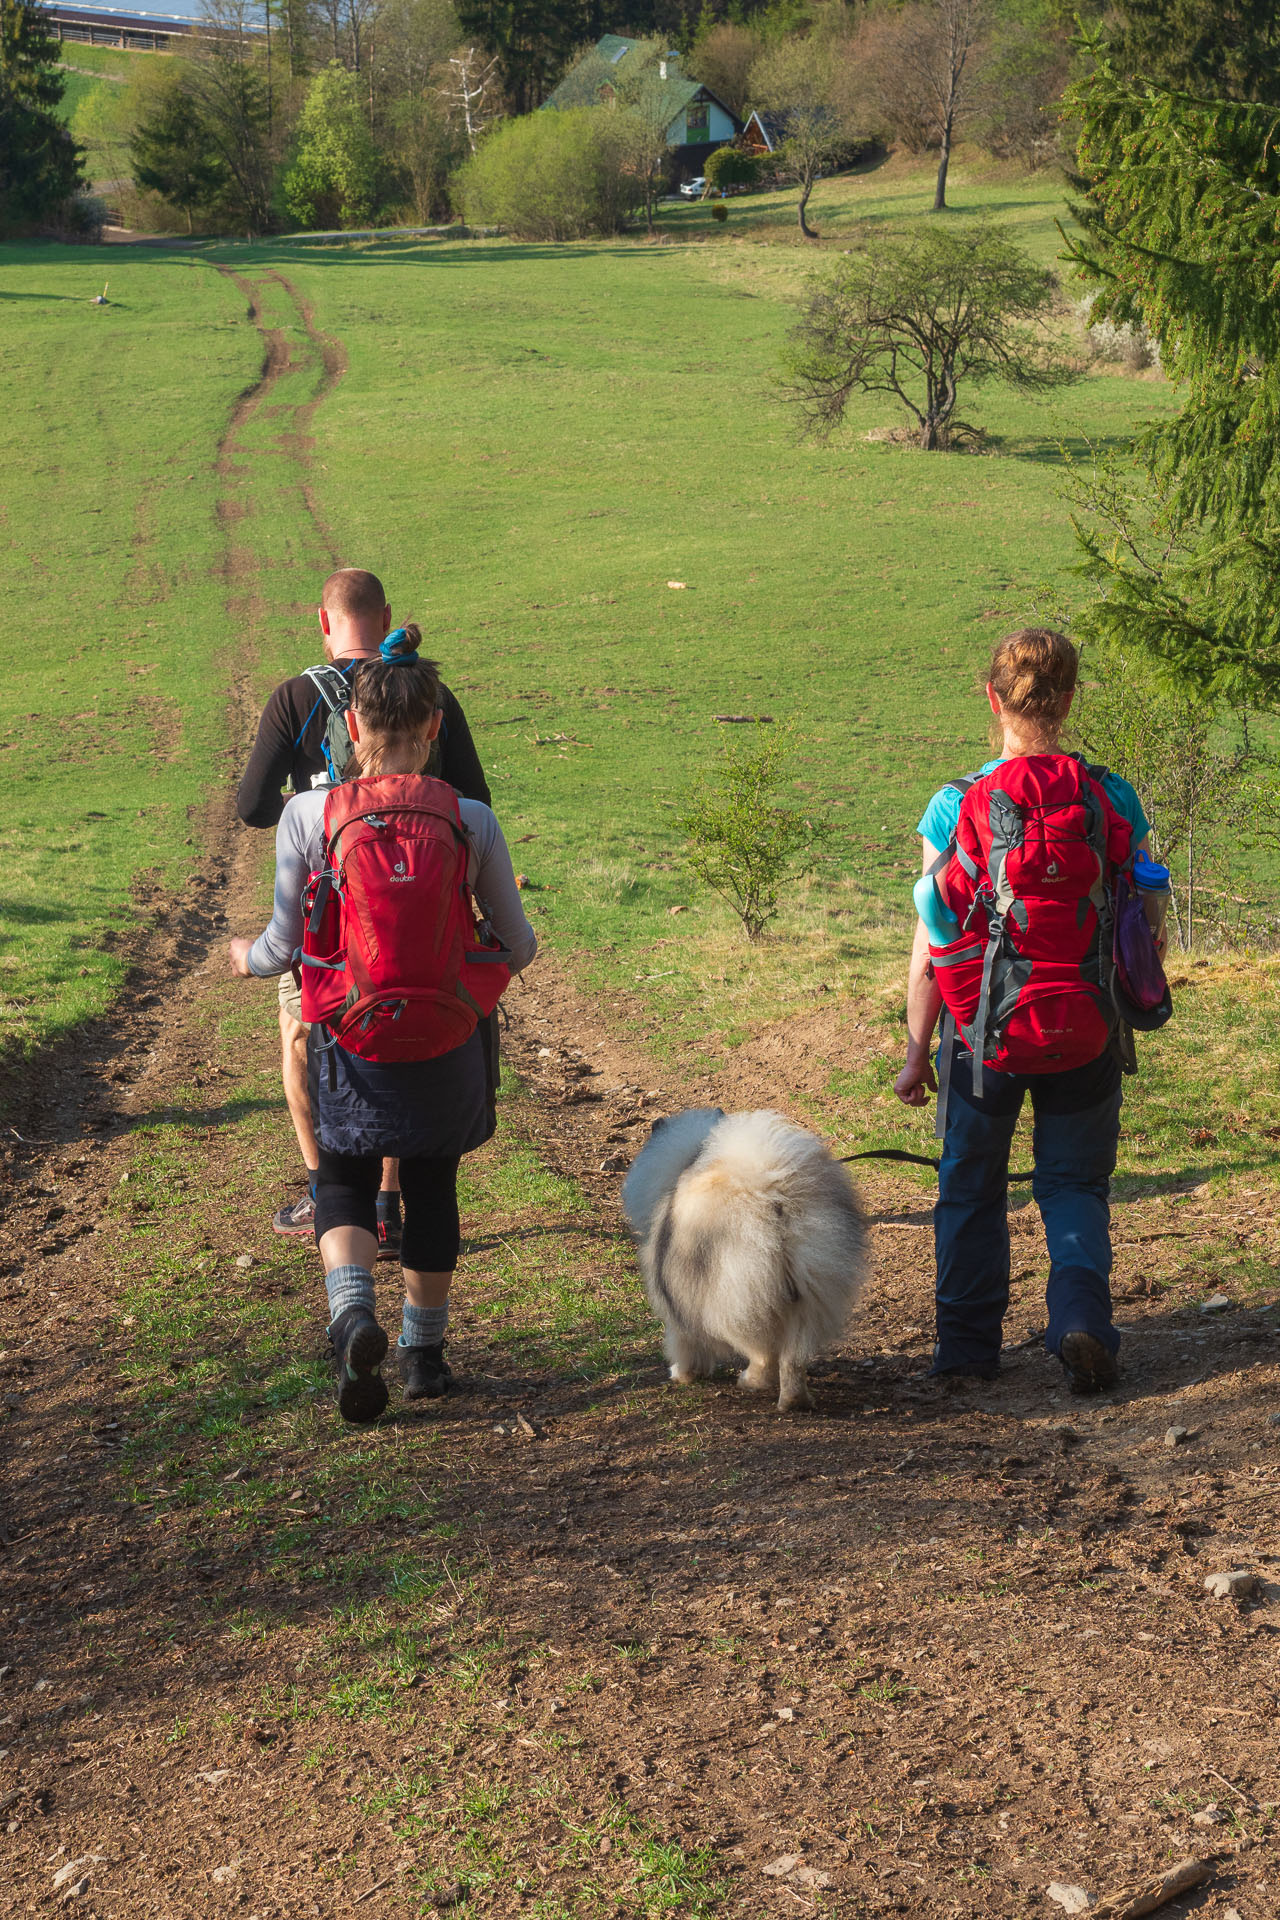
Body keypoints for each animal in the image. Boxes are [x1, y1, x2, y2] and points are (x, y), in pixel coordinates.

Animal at [621, 1113, 871, 1413]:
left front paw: (684, 1373)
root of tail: (772, 1195)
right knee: (792, 1358)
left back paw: (751, 1380)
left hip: (736, 1298)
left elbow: (683, 1338)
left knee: (762, 1351)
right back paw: (793, 1401)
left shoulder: (677, 1297)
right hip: (811, 1290)